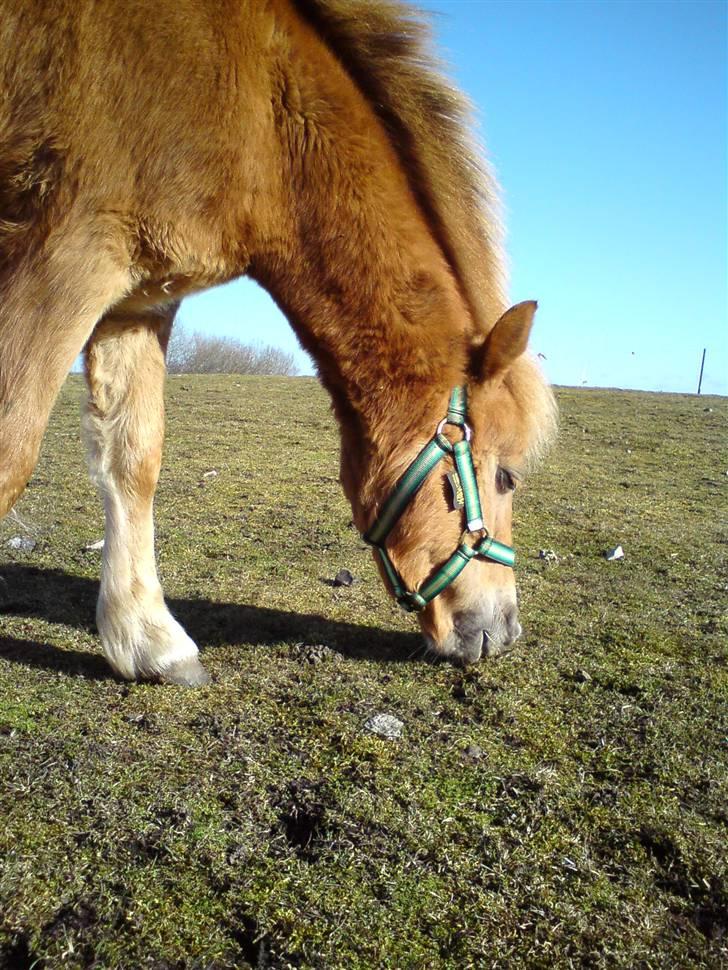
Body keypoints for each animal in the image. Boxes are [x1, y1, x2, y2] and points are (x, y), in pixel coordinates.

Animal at [1, 0, 556, 684]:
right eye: (506, 477)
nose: (505, 632)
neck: (262, 123)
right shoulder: (67, 256)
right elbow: (12, 451)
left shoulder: (138, 300)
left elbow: (133, 460)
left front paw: (149, 639)